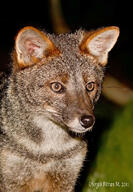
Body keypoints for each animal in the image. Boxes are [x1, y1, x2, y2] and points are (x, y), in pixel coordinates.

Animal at [0, 25, 119, 192]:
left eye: (90, 86)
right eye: (56, 87)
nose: (88, 121)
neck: (48, 151)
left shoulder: (66, 178)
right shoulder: (12, 181)